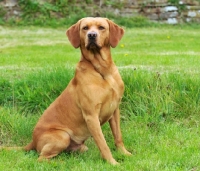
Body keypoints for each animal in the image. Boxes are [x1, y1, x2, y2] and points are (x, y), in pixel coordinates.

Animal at [23, 17, 131, 164]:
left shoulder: (114, 110)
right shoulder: (91, 116)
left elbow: (118, 136)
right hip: (62, 136)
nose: (92, 35)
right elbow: (103, 143)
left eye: (101, 27)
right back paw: (61, 163)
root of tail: (32, 141)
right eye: (85, 28)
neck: (102, 70)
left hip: (79, 146)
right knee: (41, 158)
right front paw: (112, 162)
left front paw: (124, 153)